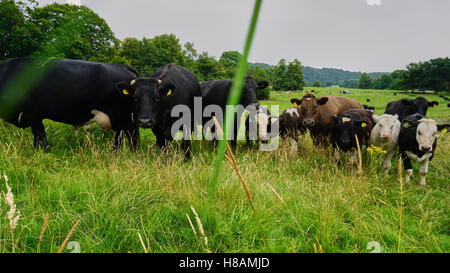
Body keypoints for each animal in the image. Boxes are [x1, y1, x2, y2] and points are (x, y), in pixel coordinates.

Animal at [0, 58, 140, 151]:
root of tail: (124, 67)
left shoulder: (33, 114)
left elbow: (41, 136)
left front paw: (44, 152)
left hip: (120, 117)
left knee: (126, 136)